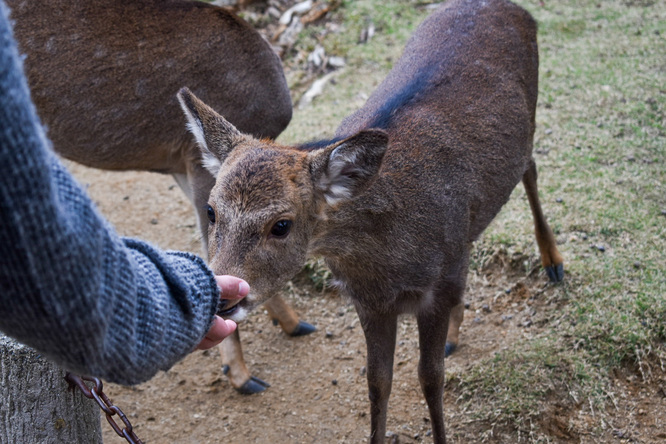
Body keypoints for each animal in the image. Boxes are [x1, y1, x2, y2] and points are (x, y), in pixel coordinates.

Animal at [7, 0, 314, 396]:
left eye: (281, 226)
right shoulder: (197, 164)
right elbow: (212, 252)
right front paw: (240, 373)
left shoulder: (183, 165)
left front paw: (291, 323)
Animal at [176, 0, 560, 438]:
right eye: (211, 211)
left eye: (281, 225)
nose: (224, 297)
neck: (387, 261)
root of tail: (519, 11)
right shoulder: (368, 301)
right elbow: (377, 382)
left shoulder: (435, 288)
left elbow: (431, 378)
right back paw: (457, 331)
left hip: (530, 119)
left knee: (531, 166)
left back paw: (553, 263)